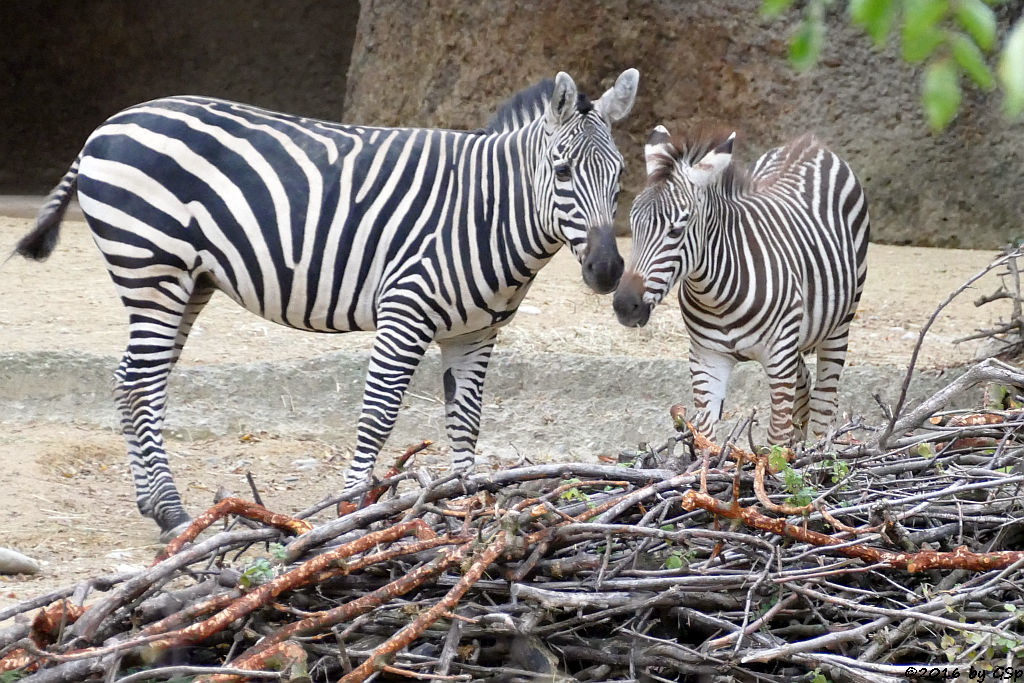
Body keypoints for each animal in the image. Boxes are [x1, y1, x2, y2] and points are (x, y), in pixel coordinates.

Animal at [14, 69, 638, 540]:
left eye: (620, 175)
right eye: (561, 170)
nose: (607, 272)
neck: (489, 212)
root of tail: (111, 124)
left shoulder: (475, 333)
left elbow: (466, 422)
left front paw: (469, 505)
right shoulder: (405, 313)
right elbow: (379, 415)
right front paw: (352, 511)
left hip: (189, 281)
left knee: (130, 378)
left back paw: (152, 505)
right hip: (152, 267)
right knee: (142, 381)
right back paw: (171, 511)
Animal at [610, 126, 868, 446]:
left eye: (676, 230)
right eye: (633, 225)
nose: (624, 305)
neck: (717, 297)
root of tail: (811, 144)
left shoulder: (779, 355)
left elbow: (775, 439)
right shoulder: (706, 358)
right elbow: (706, 438)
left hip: (840, 323)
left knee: (824, 403)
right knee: (804, 387)